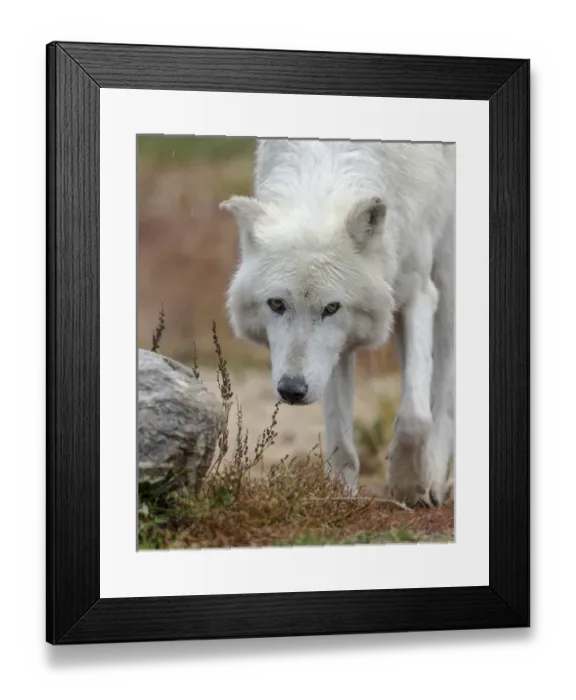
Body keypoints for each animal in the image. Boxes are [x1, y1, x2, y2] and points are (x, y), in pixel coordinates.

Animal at [220, 139, 455, 507]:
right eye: (276, 304)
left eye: (331, 308)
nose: (291, 390)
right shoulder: (333, 352)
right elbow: (339, 435)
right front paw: (339, 497)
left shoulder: (418, 292)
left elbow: (415, 417)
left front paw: (408, 484)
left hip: (446, 274)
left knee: (443, 392)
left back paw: (433, 478)